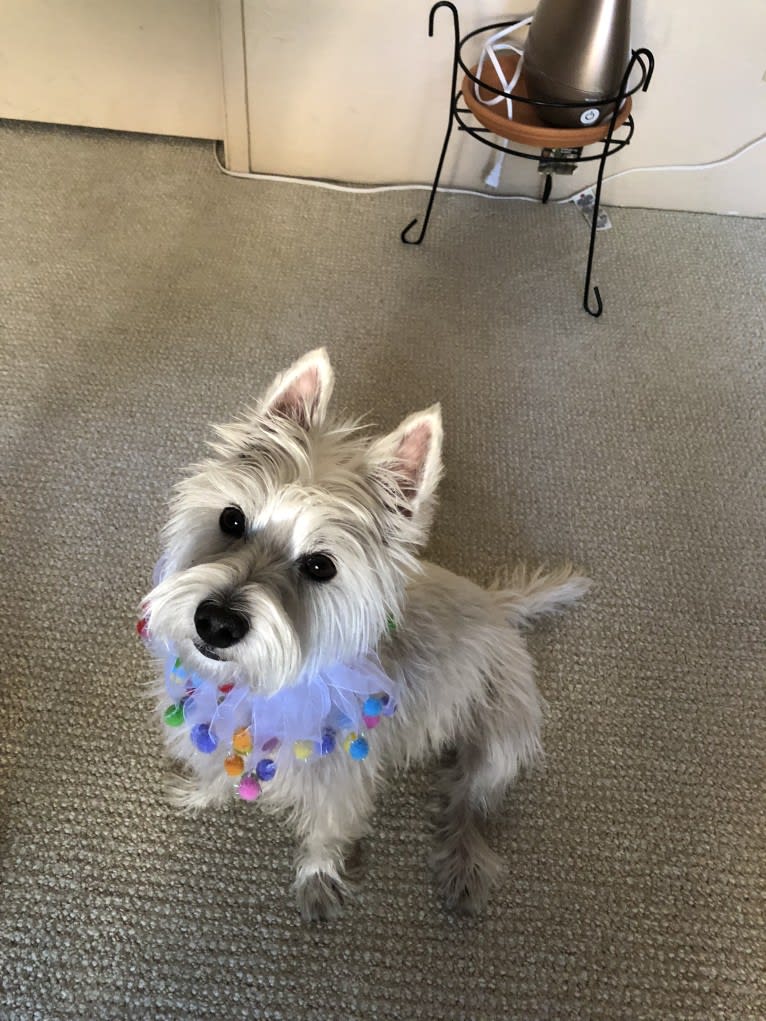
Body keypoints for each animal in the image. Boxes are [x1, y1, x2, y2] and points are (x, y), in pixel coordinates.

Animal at [140, 349, 592, 918]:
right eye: (232, 520)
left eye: (320, 566)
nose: (216, 623)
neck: (257, 687)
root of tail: (496, 603)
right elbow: (213, 767)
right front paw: (203, 794)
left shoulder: (340, 785)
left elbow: (325, 835)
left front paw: (317, 882)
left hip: (497, 741)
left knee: (469, 801)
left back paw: (463, 862)